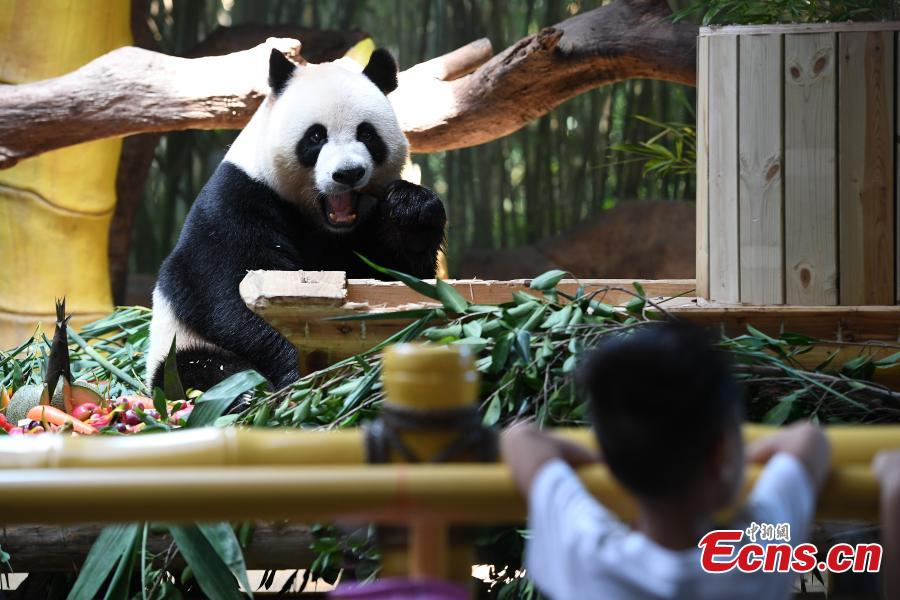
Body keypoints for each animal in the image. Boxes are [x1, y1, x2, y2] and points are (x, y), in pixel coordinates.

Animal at [147, 48, 450, 394]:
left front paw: (411, 210)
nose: (348, 173)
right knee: (198, 372)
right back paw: (247, 392)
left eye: (367, 134)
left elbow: (400, 280)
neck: (321, 222)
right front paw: (298, 368)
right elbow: (234, 293)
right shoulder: (238, 201)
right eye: (316, 136)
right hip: (179, 344)